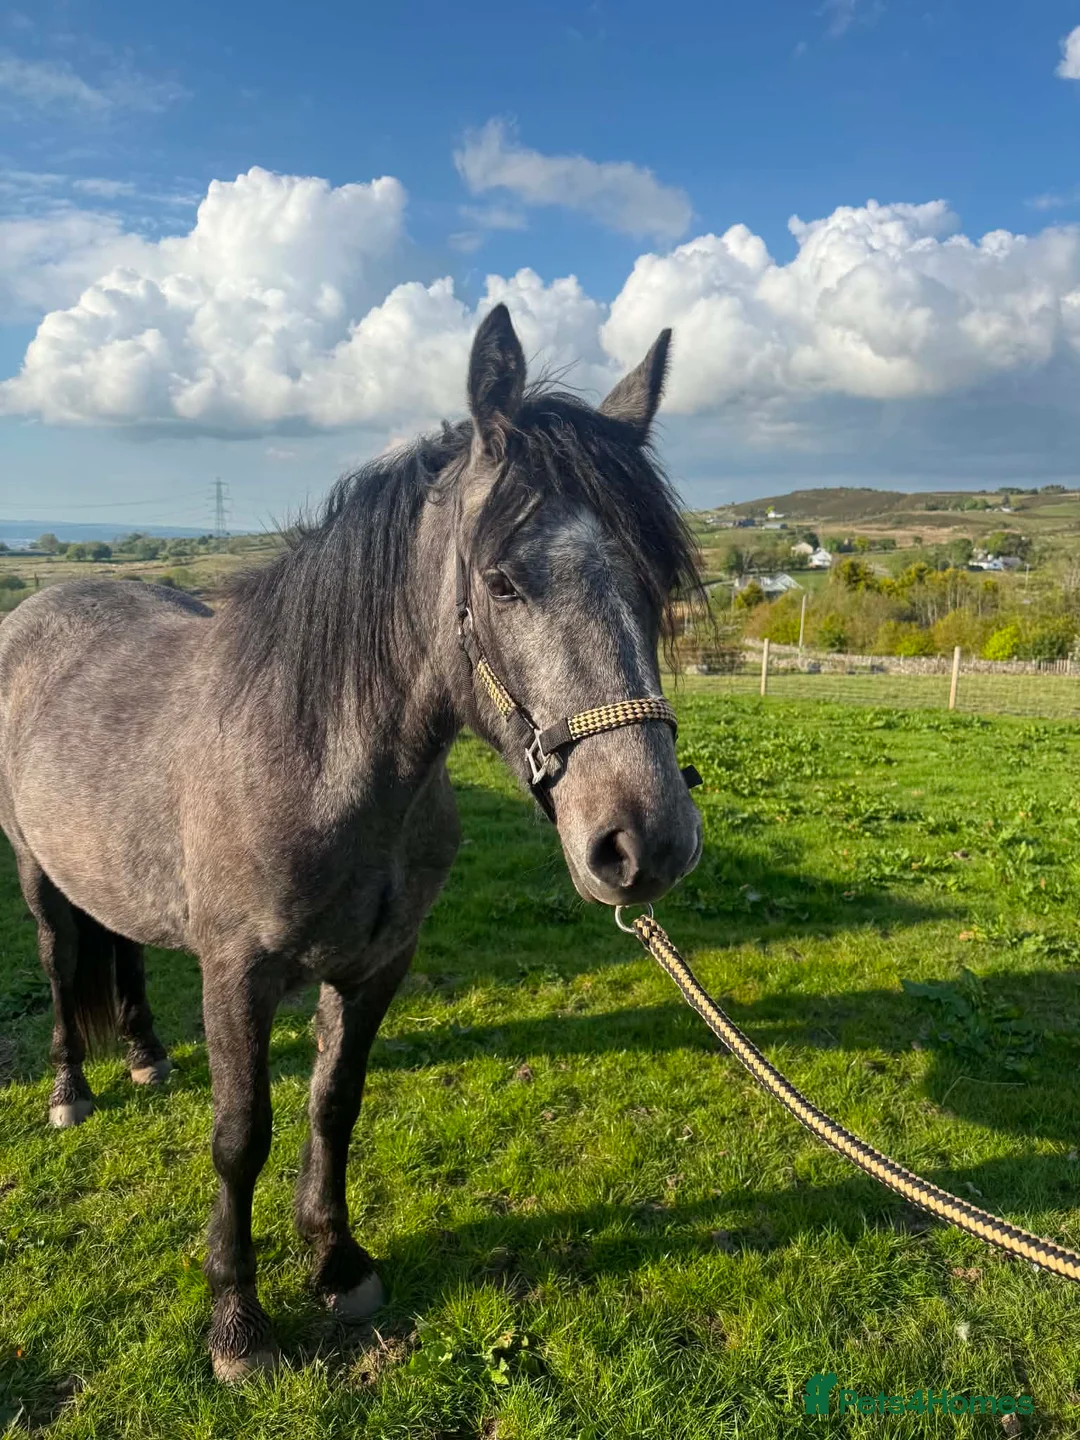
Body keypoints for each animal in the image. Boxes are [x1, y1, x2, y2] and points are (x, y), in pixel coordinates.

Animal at [0, 304, 704, 1380]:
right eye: (502, 582)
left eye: (655, 579)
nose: (646, 842)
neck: (318, 754)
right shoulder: (237, 975)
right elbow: (240, 1136)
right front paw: (237, 1324)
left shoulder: (376, 966)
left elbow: (335, 1104)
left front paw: (337, 1265)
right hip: (38, 873)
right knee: (56, 955)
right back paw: (71, 1090)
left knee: (120, 949)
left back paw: (147, 1056)